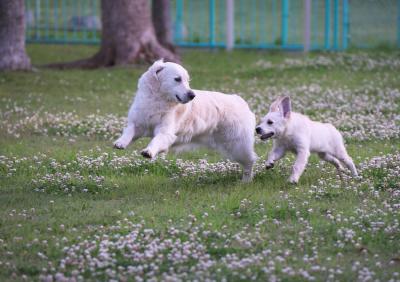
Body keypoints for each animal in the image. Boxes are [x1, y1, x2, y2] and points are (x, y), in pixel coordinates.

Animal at [113, 60, 256, 182]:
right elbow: (129, 131)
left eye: (188, 80)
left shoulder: (165, 131)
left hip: (238, 145)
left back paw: (246, 181)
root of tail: (239, 100)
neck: (158, 100)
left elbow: (156, 140)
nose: (192, 95)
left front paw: (149, 151)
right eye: (177, 79)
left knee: (250, 161)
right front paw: (120, 143)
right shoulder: (138, 123)